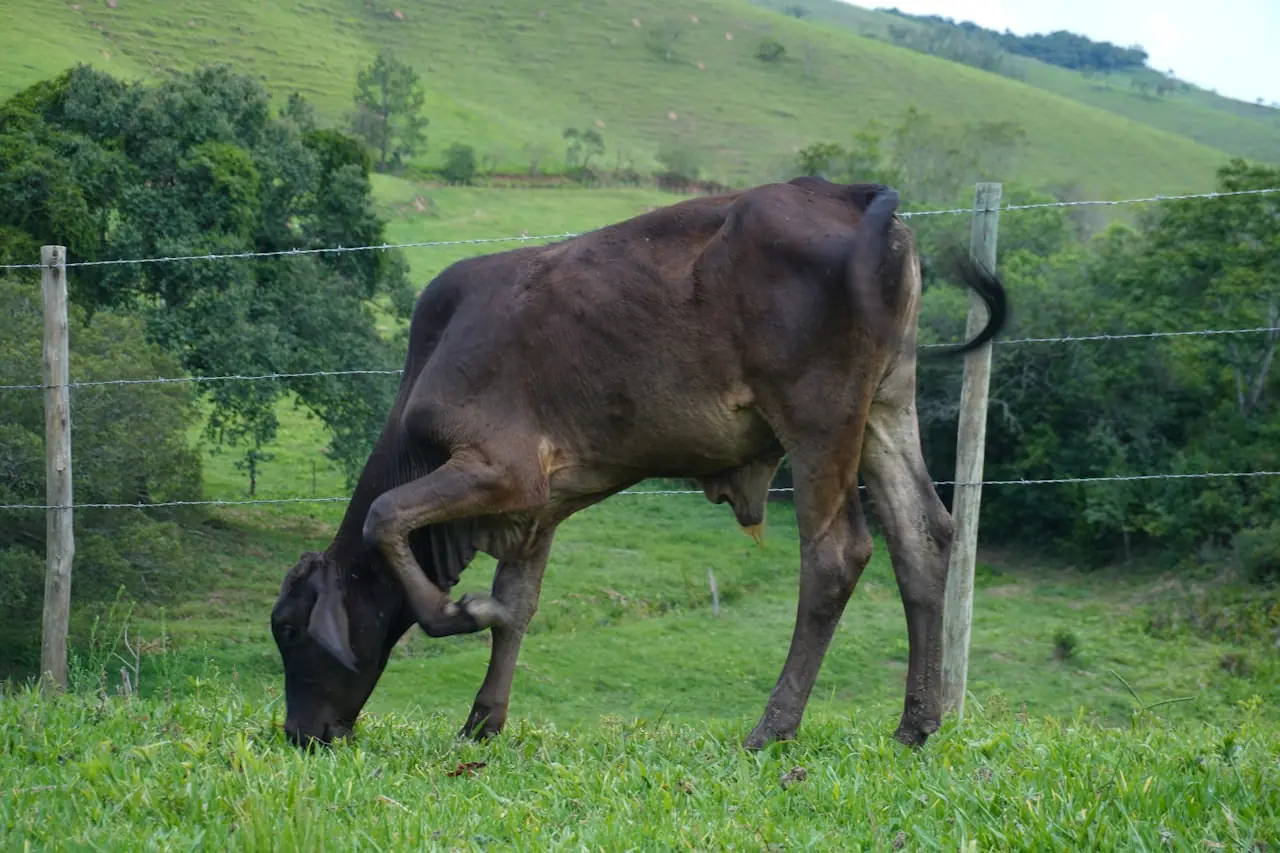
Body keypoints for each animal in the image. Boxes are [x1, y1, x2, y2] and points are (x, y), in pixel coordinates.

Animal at [269, 176, 1007, 751]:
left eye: (287, 627)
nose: (299, 734)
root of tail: (847, 193)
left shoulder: (502, 468)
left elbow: (385, 517)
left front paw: (459, 612)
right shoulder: (537, 508)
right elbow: (518, 606)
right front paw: (482, 722)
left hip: (819, 418)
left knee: (836, 555)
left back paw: (773, 727)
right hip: (886, 403)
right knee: (923, 537)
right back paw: (915, 724)